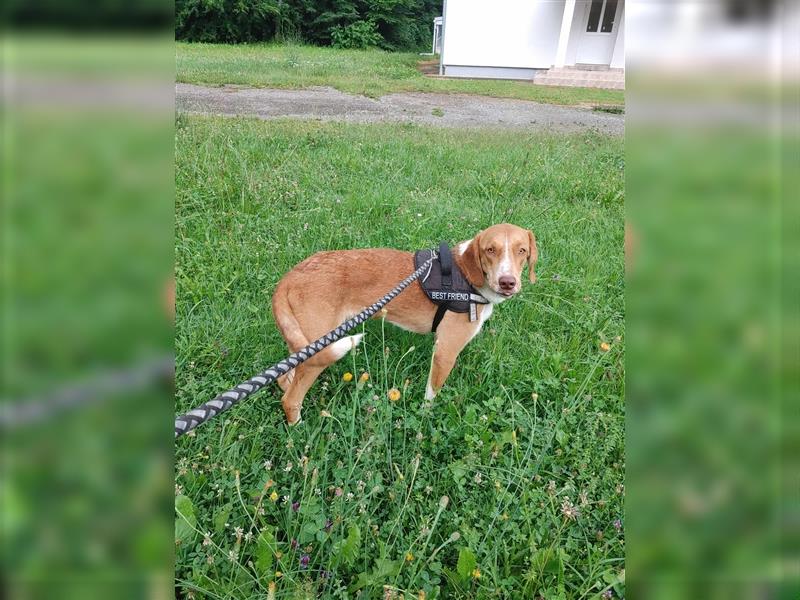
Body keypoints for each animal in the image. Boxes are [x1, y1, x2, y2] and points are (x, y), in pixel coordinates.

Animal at [270, 223, 536, 424]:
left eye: (522, 251)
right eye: (490, 250)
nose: (507, 282)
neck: (468, 277)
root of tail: (290, 277)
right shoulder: (445, 352)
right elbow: (431, 395)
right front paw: (425, 419)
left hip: (302, 346)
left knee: (284, 380)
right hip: (317, 351)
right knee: (291, 400)